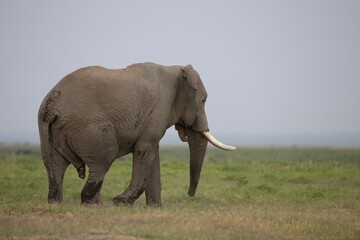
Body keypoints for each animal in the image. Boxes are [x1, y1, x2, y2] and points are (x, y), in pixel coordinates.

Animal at [38, 62, 236, 206]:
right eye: (203, 101)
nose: (190, 195)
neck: (175, 69)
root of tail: (52, 101)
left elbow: (153, 155)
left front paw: (155, 208)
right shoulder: (159, 110)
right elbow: (145, 150)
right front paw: (121, 202)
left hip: (52, 130)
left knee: (55, 163)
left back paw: (57, 203)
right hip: (89, 128)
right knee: (104, 158)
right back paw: (92, 204)